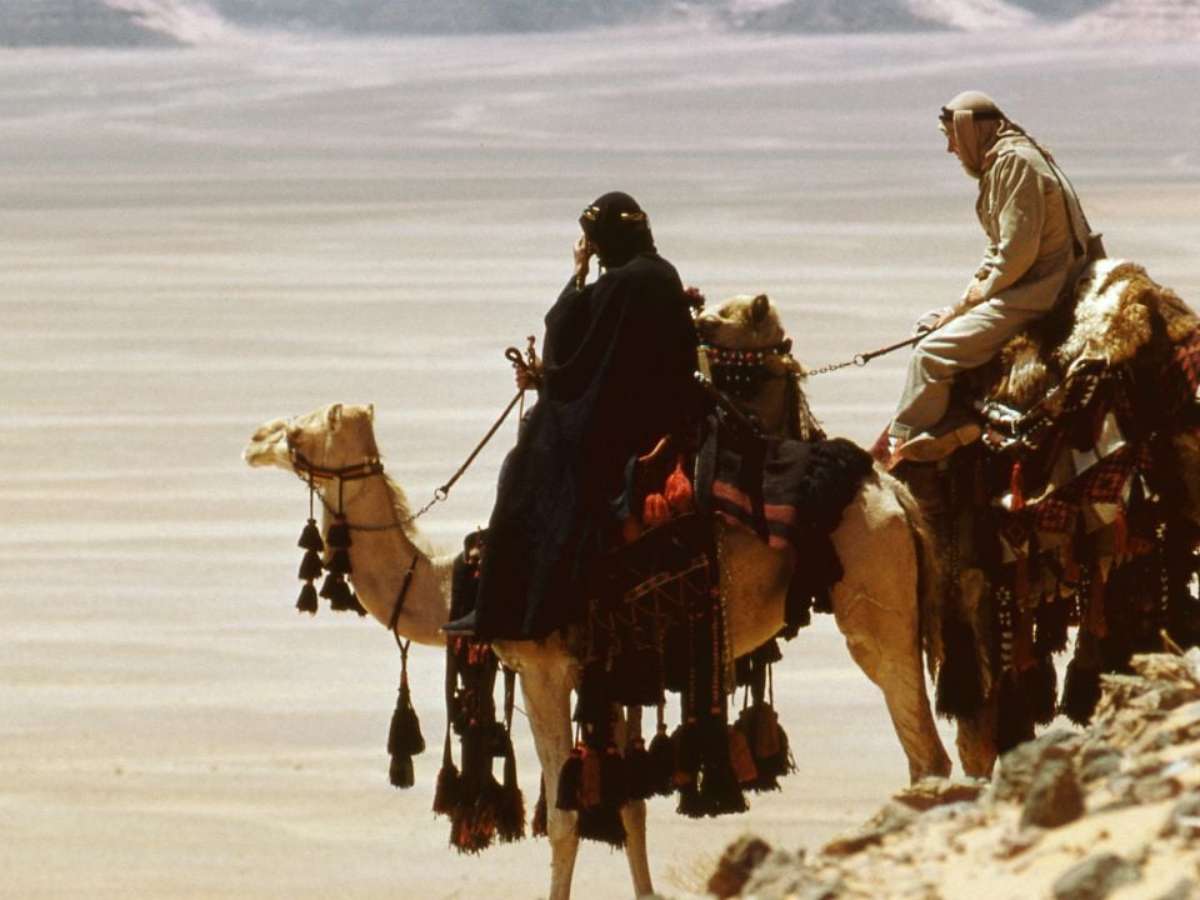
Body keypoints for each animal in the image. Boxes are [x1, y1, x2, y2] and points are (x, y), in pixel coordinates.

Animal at [244, 396, 951, 900]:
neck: (450, 585)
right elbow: (629, 802)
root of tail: (895, 494)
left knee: (925, 753)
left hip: (874, 592)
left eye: (300, 430)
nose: (254, 439)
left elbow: (564, 815)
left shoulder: (545, 669)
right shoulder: (610, 676)